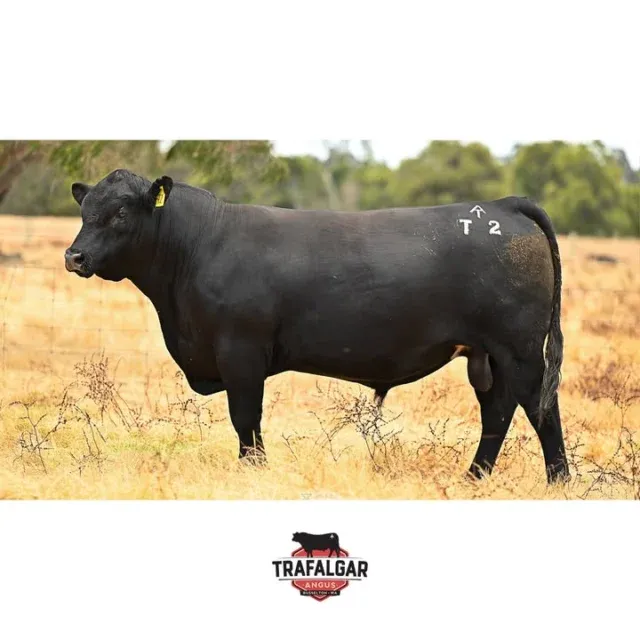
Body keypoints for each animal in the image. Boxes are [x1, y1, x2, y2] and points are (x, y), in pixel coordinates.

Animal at [64, 169, 570, 484]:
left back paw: (559, 480)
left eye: (121, 213)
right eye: (85, 211)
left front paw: (254, 472)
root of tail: (502, 204)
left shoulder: (241, 352)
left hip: (521, 350)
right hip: (486, 355)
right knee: (497, 411)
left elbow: (246, 419)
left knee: (540, 408)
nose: (75, 256)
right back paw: (473, 478)